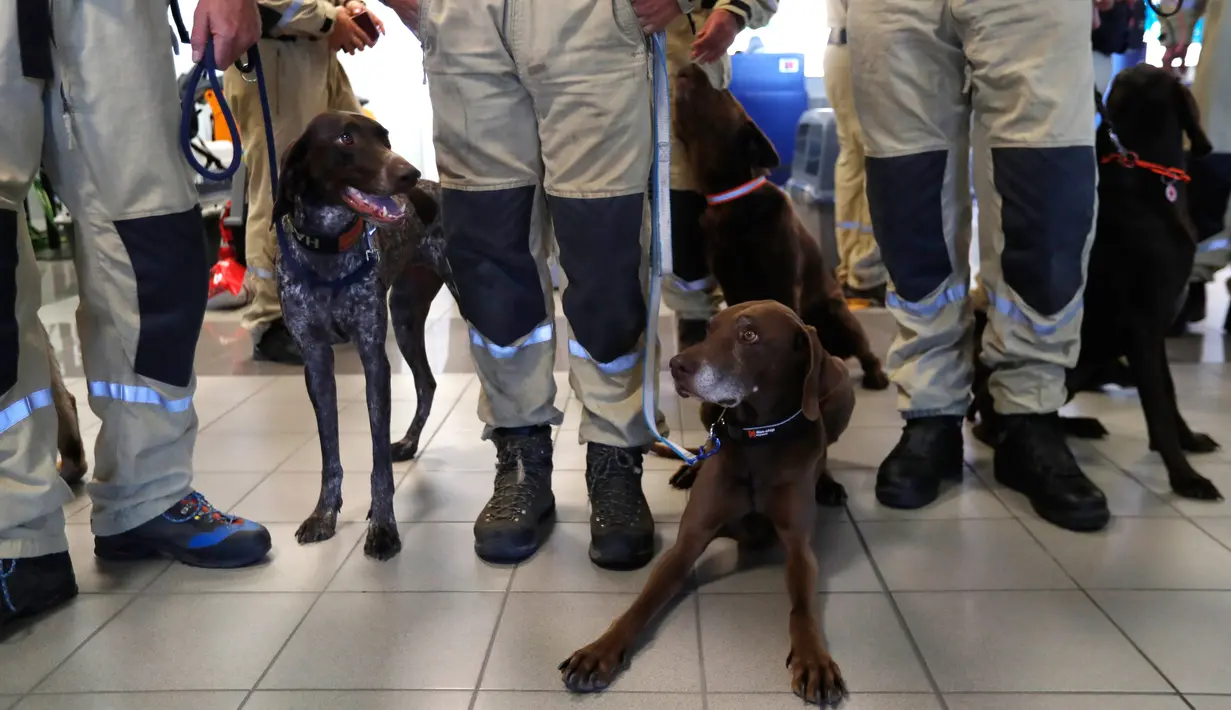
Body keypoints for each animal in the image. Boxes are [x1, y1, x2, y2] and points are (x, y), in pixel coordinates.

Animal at [563, 299, 851, 703]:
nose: (676, 365)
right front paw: (599, 650)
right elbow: (641, 603)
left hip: (842, 390)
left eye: (750, 335)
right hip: (707, 410)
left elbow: (802, 609)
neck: (756, 440)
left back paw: (827, 483)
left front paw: (813, 659)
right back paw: (690, 469)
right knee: (702, 444)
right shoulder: (687, 543)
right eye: (709, 329)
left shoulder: (799, 548)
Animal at [669, 63, 891, 391]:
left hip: (842, 317)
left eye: (722, 91)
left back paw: (875, 374)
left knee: (865, 351)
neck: (732, 198)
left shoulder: (783, 282)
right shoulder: (731, 284)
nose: (691, 64)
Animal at [970, 65, 1221, 497]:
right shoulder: (1142, 331)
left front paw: (1188, 441)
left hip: (1086, 365)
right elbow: (1158, 406)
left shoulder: (1156, 335)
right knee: (996, 423)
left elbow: (1170, 394)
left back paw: (1076, 426)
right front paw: (1185, 477)